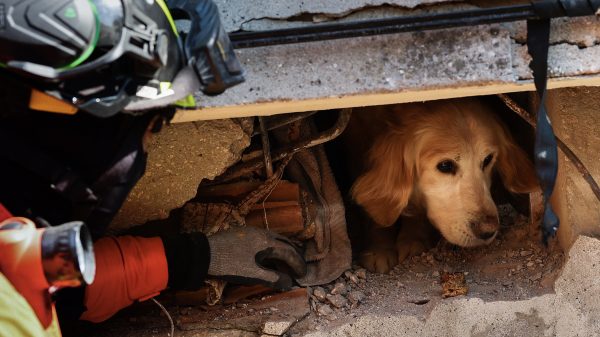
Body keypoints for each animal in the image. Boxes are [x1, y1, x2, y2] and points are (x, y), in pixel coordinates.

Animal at [342, 98, 540, 272]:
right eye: (445, 165)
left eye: (487, 159)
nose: (488, 230)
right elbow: (375, 213)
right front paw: (379, 248)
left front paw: (413, 237)